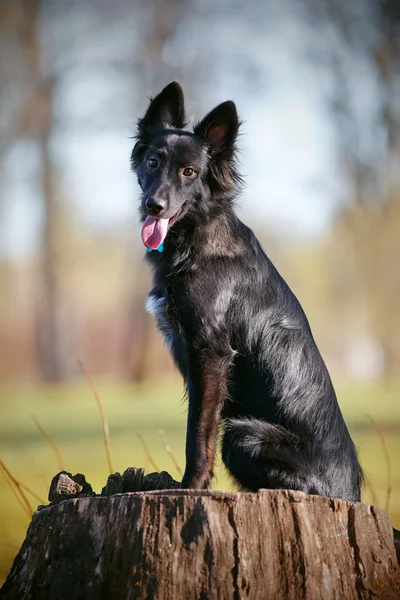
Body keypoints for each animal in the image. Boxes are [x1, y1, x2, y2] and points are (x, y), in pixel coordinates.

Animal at [131, 82, 362, 500]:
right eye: (153, 162)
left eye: (190, 172)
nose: (153, 205)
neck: (198, 236)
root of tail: (350, 495)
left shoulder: (210, 353)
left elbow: (198, 433)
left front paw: (191, 488)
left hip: (243, 435)